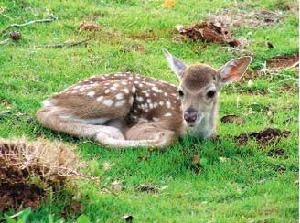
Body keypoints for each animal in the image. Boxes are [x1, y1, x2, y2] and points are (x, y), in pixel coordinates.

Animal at [36, 49, 252, 149]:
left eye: (211, 92)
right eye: (181, 91)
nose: (189, 116)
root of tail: (55, 96)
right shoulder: (145, 126)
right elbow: (169, 137)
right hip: (119, 93)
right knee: (45, 112)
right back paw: (108, 131)